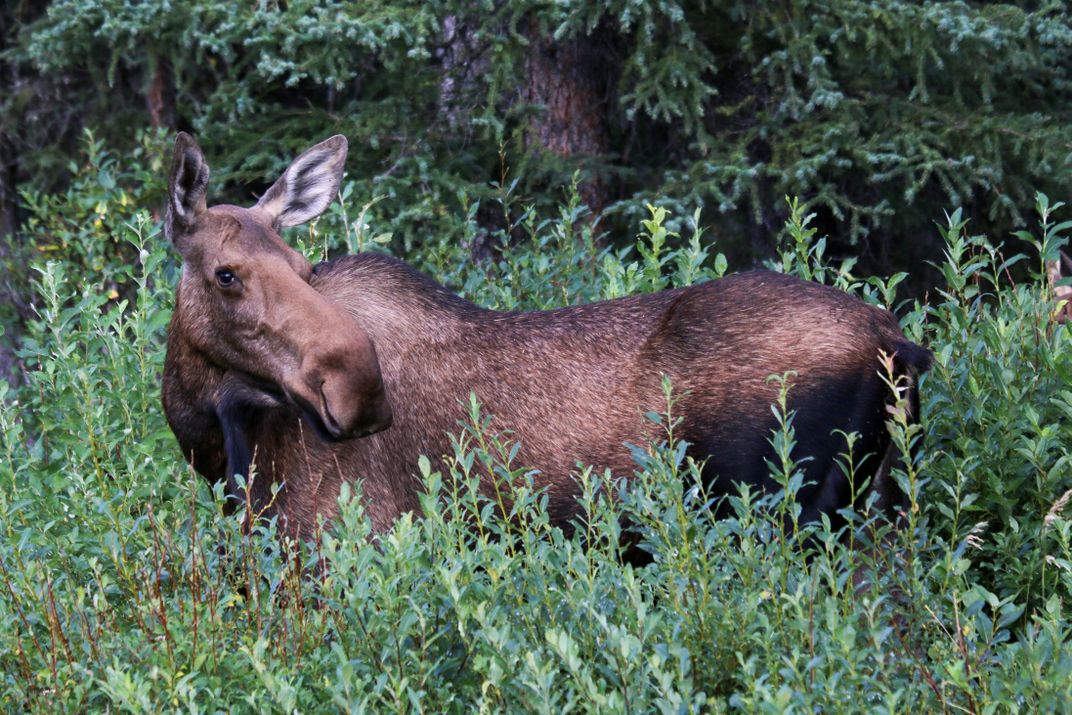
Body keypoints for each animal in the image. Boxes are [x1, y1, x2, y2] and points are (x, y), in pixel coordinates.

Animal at [158, 132, 930, 542]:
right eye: (226, 273)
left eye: (302, 266)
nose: (360, 391)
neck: (213, 441)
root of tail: (900, 343)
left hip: (782, 513)